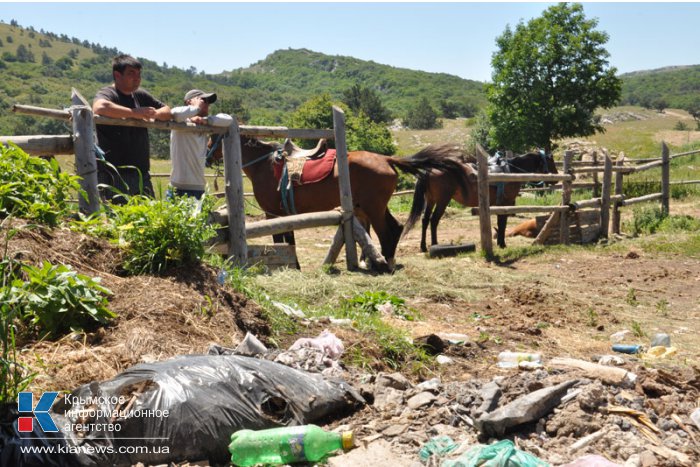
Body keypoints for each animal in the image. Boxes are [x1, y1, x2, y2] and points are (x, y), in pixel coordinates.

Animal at [235, 137, 470, 272]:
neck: (263, 165)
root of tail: (387, 159)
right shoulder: (283, 215)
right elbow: (289, 240)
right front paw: (295, 266)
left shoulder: (271, 213)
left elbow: (280, 241)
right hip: (375, 207)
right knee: (396, 228)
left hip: (374, 208)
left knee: (386, 232)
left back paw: (385, 263)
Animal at [404, 151, 556, 252]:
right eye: (551, 162)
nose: (555, 178)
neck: (512, 171)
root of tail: (430, 169)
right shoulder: (506, 202)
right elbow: (503, 223)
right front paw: (502, 244)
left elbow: (500, 223)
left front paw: (500, 242)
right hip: (442, 200)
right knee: (434, 220)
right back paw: (435, 244)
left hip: (431, 200)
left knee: (425, 220)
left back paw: (423, 246)